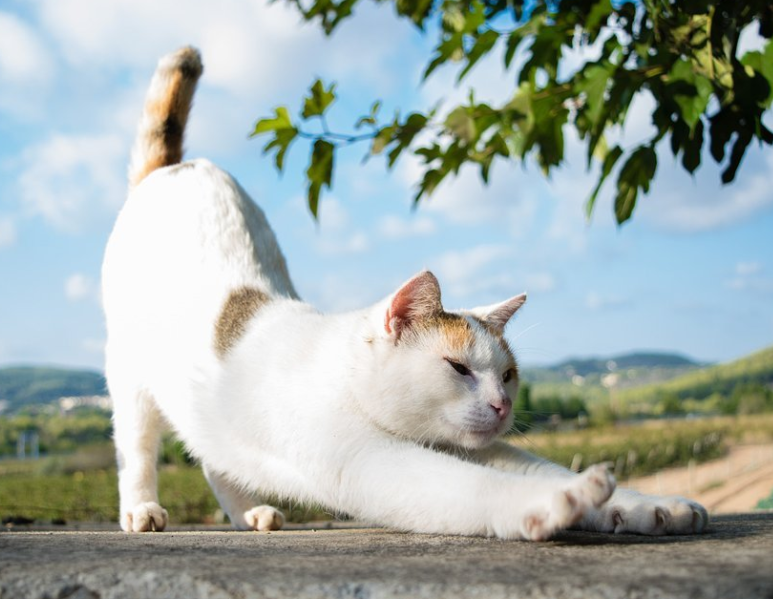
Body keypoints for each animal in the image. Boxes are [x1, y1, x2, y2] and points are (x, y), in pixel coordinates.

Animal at [101, 47, 704, 540]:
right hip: (129, 383)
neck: (348, 380)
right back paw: (142, 511)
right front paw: (561, 502)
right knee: (137, 451)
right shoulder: (371, 463)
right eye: (458, 368)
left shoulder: (481, 447)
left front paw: (649, 506)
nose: (503, 404)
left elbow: (539, 467)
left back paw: (249, 513)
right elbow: (476, 489)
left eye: (509, 374)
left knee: (210, 454)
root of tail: (174, 167)